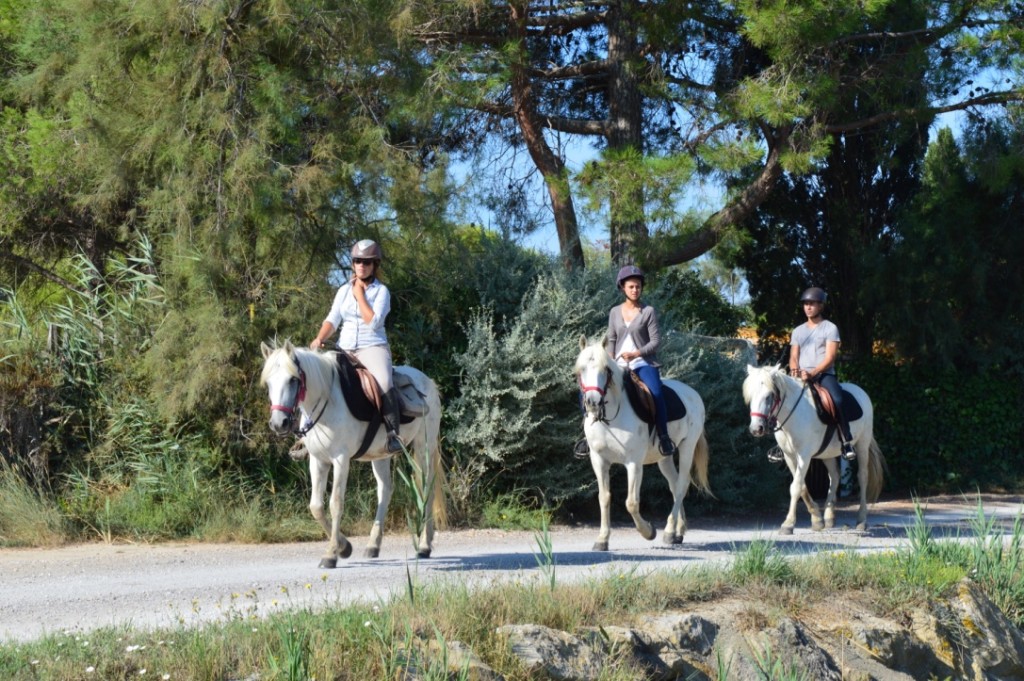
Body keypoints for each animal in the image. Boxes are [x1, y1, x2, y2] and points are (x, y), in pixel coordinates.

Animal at [260, 337, 444, 565]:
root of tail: (428, 381)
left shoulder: (341, 459)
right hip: (381, 455)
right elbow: (316, 506)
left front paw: (331, 554)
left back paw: (424, 546)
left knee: (427, 488)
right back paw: (373, 545)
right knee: (385, 490)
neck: (327, 400)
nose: (279, 423)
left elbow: (336, 503)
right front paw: (344, 547)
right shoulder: (318, 460)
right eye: (269, 383)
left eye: (293, 380)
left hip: (422, 447)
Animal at [573, 335, 708, 552]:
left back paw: (669, 531)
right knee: (674, 484)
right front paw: (602, 539)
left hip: (687, 448)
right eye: (581, 369)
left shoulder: (633, 463)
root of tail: (692, 393)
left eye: (605, 370)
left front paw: (648, 532)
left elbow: (631, 503)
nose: (593, 402)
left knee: (681, 485)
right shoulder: (599, 460)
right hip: (664, 457)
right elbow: (604, 497)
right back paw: (678, 532)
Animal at [741, 364, 884, 532]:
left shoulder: (804, 456)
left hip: (862, 444)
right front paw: (817, 519)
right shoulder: (789, 456)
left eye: (769, 395)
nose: (756, 429)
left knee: (862, 477)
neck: (793, 413)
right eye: (751, 396)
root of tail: (860, 392)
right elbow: (802, 486)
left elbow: (796, 487)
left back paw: (861, 519)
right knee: (835, 476)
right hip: (828, 453)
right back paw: (829, 516)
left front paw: (788, 524)